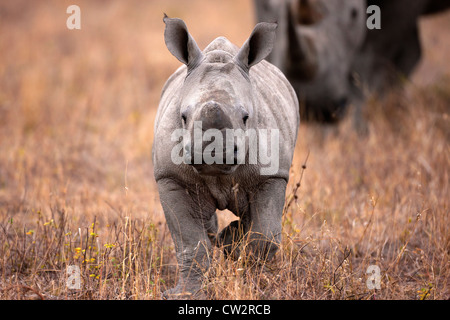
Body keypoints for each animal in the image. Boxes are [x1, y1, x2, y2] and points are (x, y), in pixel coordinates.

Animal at [153, 16, 300, 298]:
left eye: (245, 117)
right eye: (183, 116)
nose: (213, 155)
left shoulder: (272, 175)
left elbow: (265, 236)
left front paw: (247, 275)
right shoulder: (171, 177)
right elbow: (191, 243)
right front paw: (186, 294)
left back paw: (228, 241)